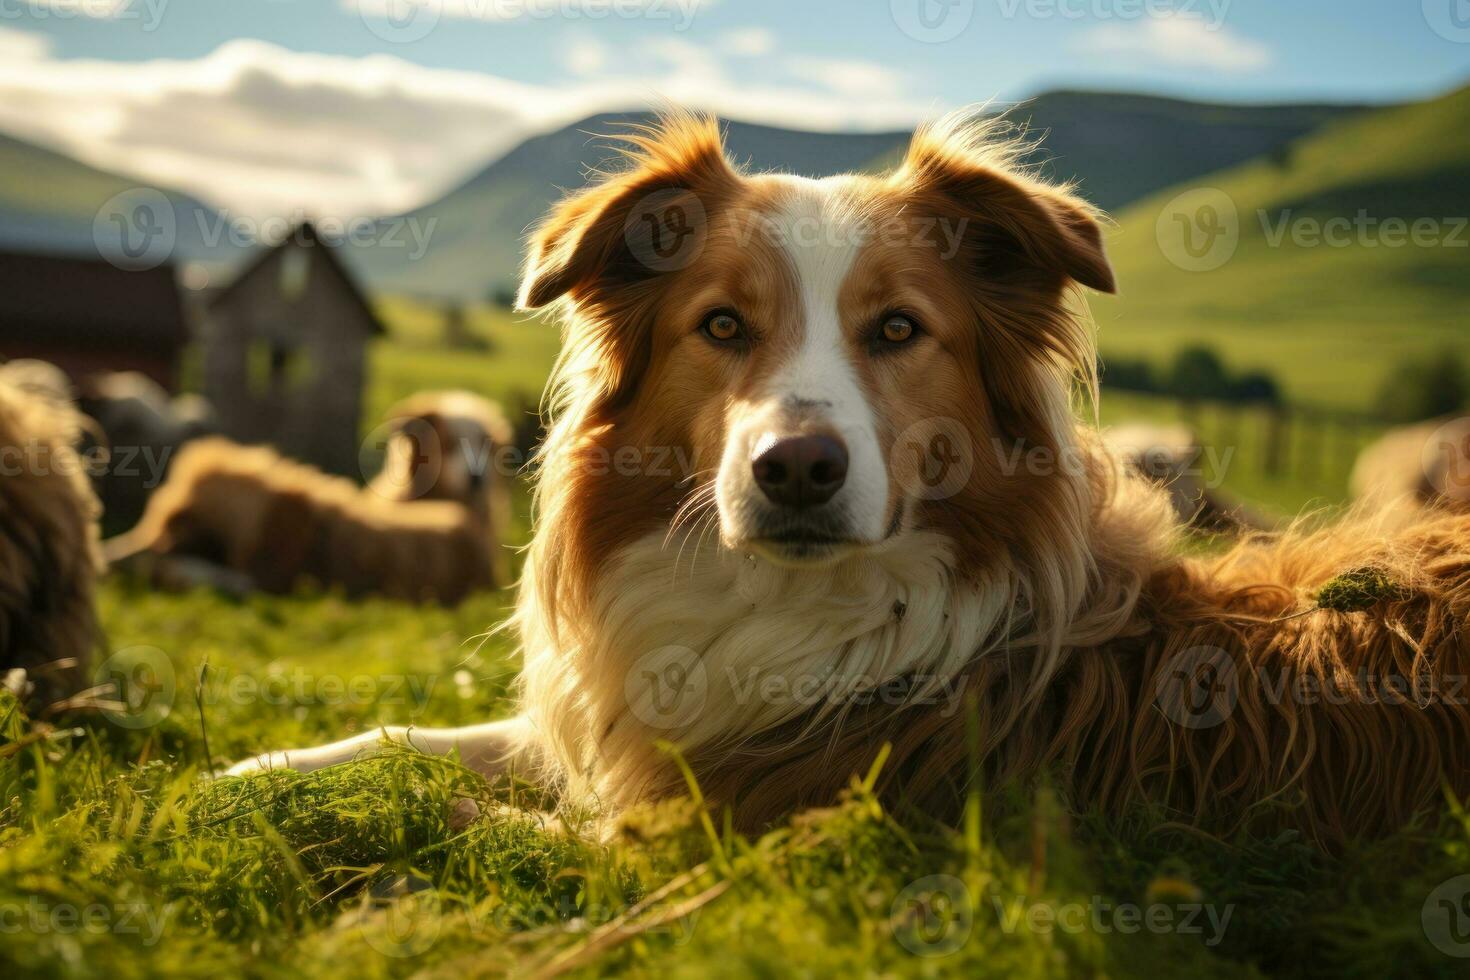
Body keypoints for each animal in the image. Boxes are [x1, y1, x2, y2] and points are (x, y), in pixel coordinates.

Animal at [226, 113, 1470, 852]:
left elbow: (472, 815)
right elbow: (413, 736)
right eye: (723, 324)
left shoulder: (739, 828)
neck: (795, 605)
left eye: (899, 328)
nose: (797, 467)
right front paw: (250, 773)